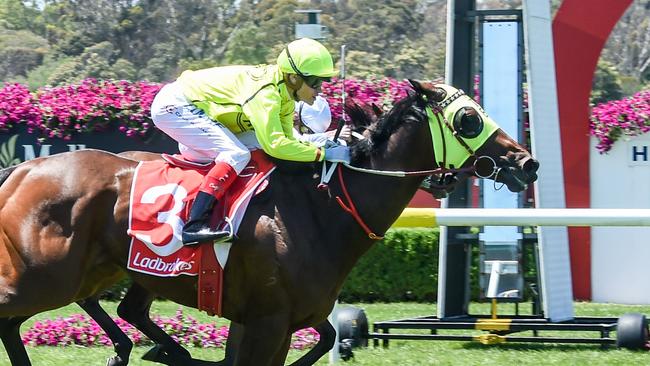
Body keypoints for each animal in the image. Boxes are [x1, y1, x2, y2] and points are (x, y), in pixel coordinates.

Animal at [0, 79, 536, 364]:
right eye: (469, 119)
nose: (526, 162)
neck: (321, 208)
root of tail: (23, 169)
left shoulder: (273, 320)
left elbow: (326, 337)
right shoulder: (265, 321)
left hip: (93, 273)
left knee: (89, 312)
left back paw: (145, 350)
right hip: (43, 277)